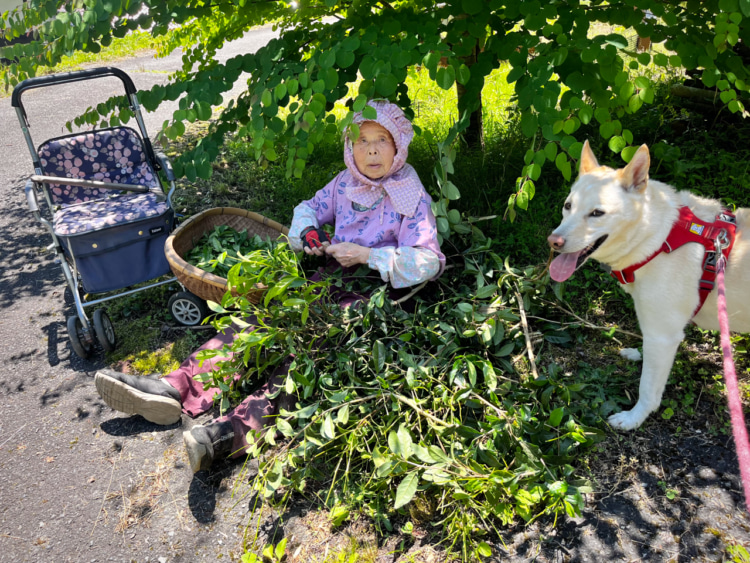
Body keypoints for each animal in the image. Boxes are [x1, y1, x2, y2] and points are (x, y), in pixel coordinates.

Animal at [548, 141, 748, 432]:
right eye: (567, 206)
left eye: (597, 213)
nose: (554, 242)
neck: (658, 238)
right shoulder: (656, 330)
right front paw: (639, 354)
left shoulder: (663, 335)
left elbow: (648, 389)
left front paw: (634, 418)